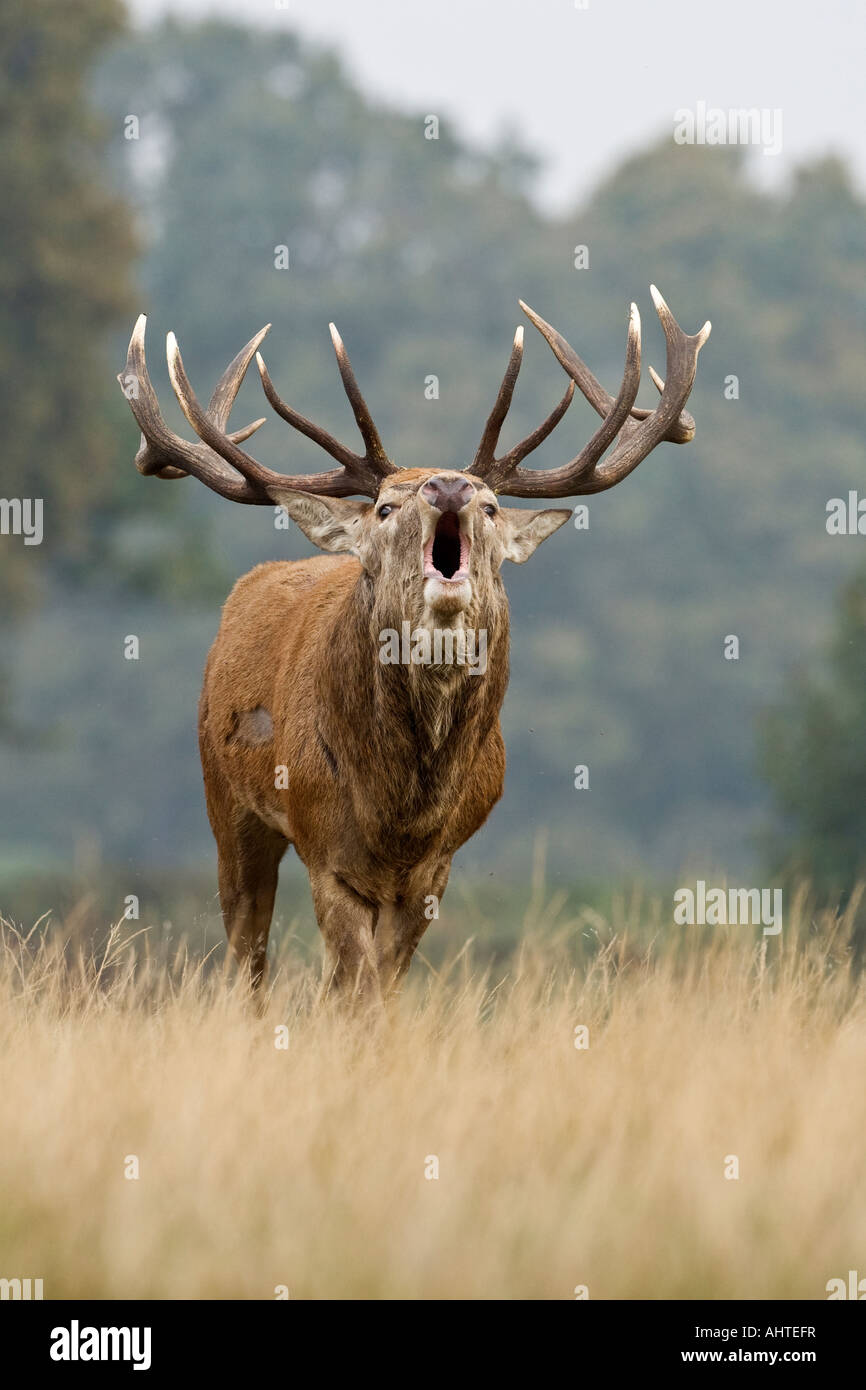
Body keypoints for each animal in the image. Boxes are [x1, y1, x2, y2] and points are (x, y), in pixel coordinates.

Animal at [118, 288, 710, 1003]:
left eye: (490, 507)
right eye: (382, 508)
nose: (449, 486)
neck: (402, 811)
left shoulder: (436, 868)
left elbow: (382, 986)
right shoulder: (327, 854)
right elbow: (353, 987)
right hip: (225, 801)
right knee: (246, 950)